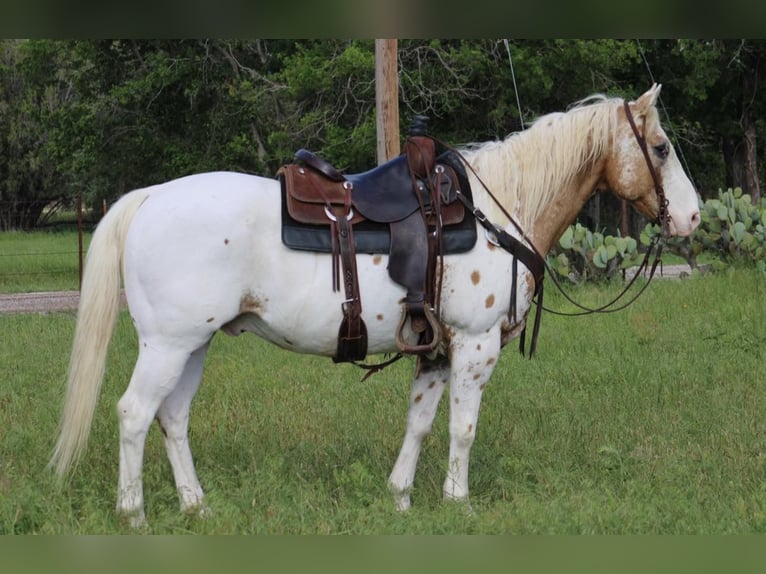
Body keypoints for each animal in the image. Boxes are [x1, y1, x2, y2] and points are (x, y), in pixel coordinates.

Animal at [49, 83, 704, 528]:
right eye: (660, 147)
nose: (694, 216)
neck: (495, 209)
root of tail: (150, 196)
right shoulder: (474, 345)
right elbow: (462, 429)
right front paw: (458, 503)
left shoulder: (436, 350)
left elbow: (419, 423)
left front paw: (401, 497)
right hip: (168, 345)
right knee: (135, 414)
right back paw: (135, 515)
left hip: (194, 346)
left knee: (173, 418)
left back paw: (196, 506)